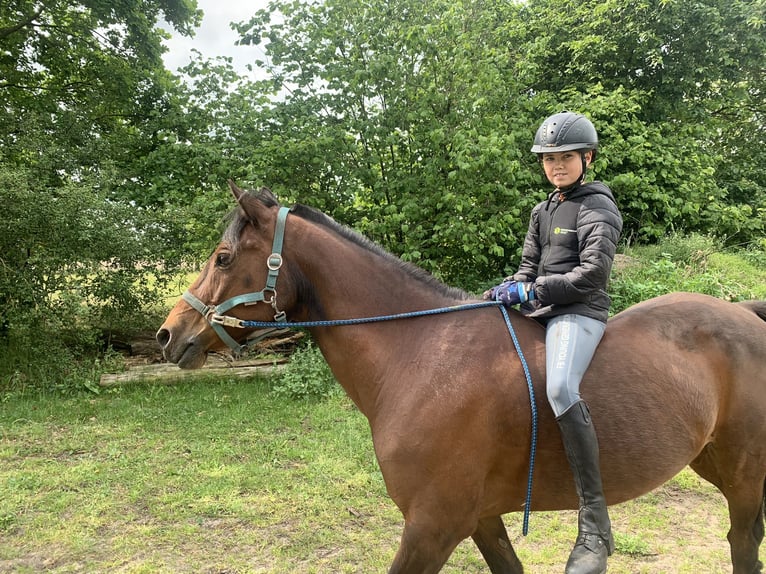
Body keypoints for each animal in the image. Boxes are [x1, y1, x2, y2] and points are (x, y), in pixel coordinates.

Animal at [158, 184, 766, 574]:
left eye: (223, 257)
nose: (168, 335)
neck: (419, 353)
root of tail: (746, 314)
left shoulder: (433, 525)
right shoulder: (480, 519)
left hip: (744, 477)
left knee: (743, 542)